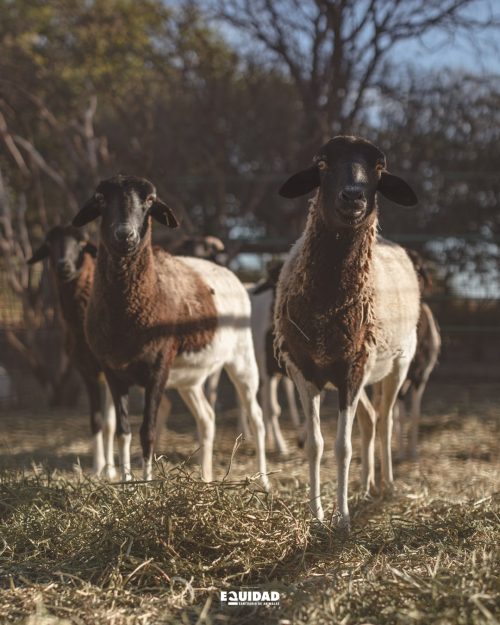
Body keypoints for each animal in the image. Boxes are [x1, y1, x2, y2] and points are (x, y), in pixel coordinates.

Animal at [27, 227, 116, 476]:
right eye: (49, 245)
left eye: (82, 244)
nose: (63, 266)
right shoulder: (86, 370)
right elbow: (97, 421)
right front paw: (98, 469)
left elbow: (109, 423)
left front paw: (109, 471)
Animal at [72, 173, 268, 486]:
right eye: (101, 198)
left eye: (150, 200)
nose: (125, 235)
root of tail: (230, 274)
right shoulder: (113, 371)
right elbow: (123, 432)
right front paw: (127, 482)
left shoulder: (158, 369)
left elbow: (148, 432)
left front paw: (146, 483)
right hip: (190, 379)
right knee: (207, 418)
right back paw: (205, 477)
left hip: (242, 358)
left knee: (257, 417)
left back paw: (263, 481)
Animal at [276, 136, 420, 528]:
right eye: (322, 164)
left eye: (379, 168)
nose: (353, 196)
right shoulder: (303, 368)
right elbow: (315, 444)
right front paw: (316, 515)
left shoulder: (352, 369)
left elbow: (343, 447)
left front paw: (341, 519)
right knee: (370, 420)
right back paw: (366, 486)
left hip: (398, 362)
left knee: (384, 422)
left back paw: (386, 485)